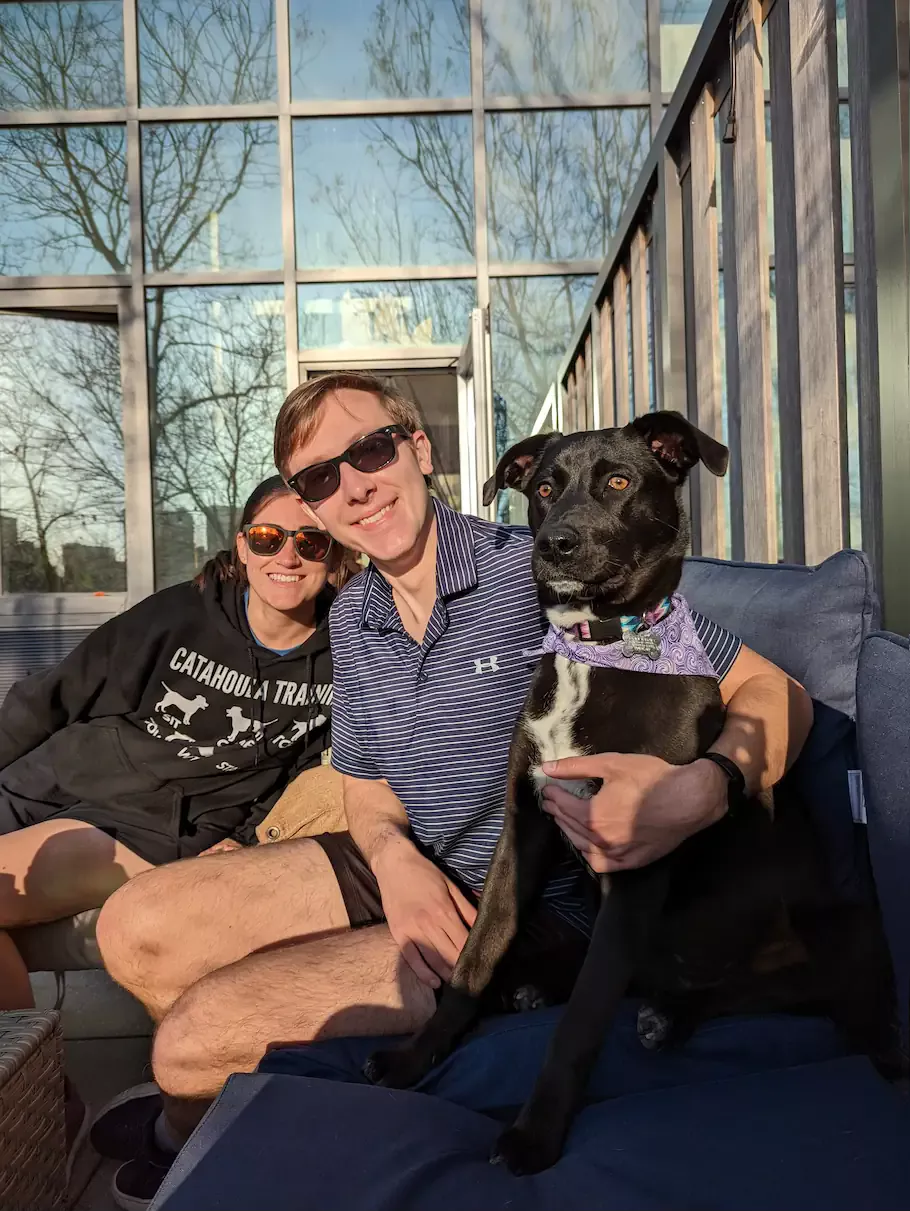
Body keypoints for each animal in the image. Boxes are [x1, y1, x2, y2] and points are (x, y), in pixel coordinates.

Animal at [365, 414, 901, 1172]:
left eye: (619, 480)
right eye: (544, 487)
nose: (556, 542)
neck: (599, 652)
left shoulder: (638, 859)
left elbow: (584, 1017)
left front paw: (535, 1134)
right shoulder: (524, 830)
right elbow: (477, 952)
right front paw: (417, 1054)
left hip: (845, 926)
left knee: (791, 992)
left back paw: (671, 1017)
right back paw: (542, 985)